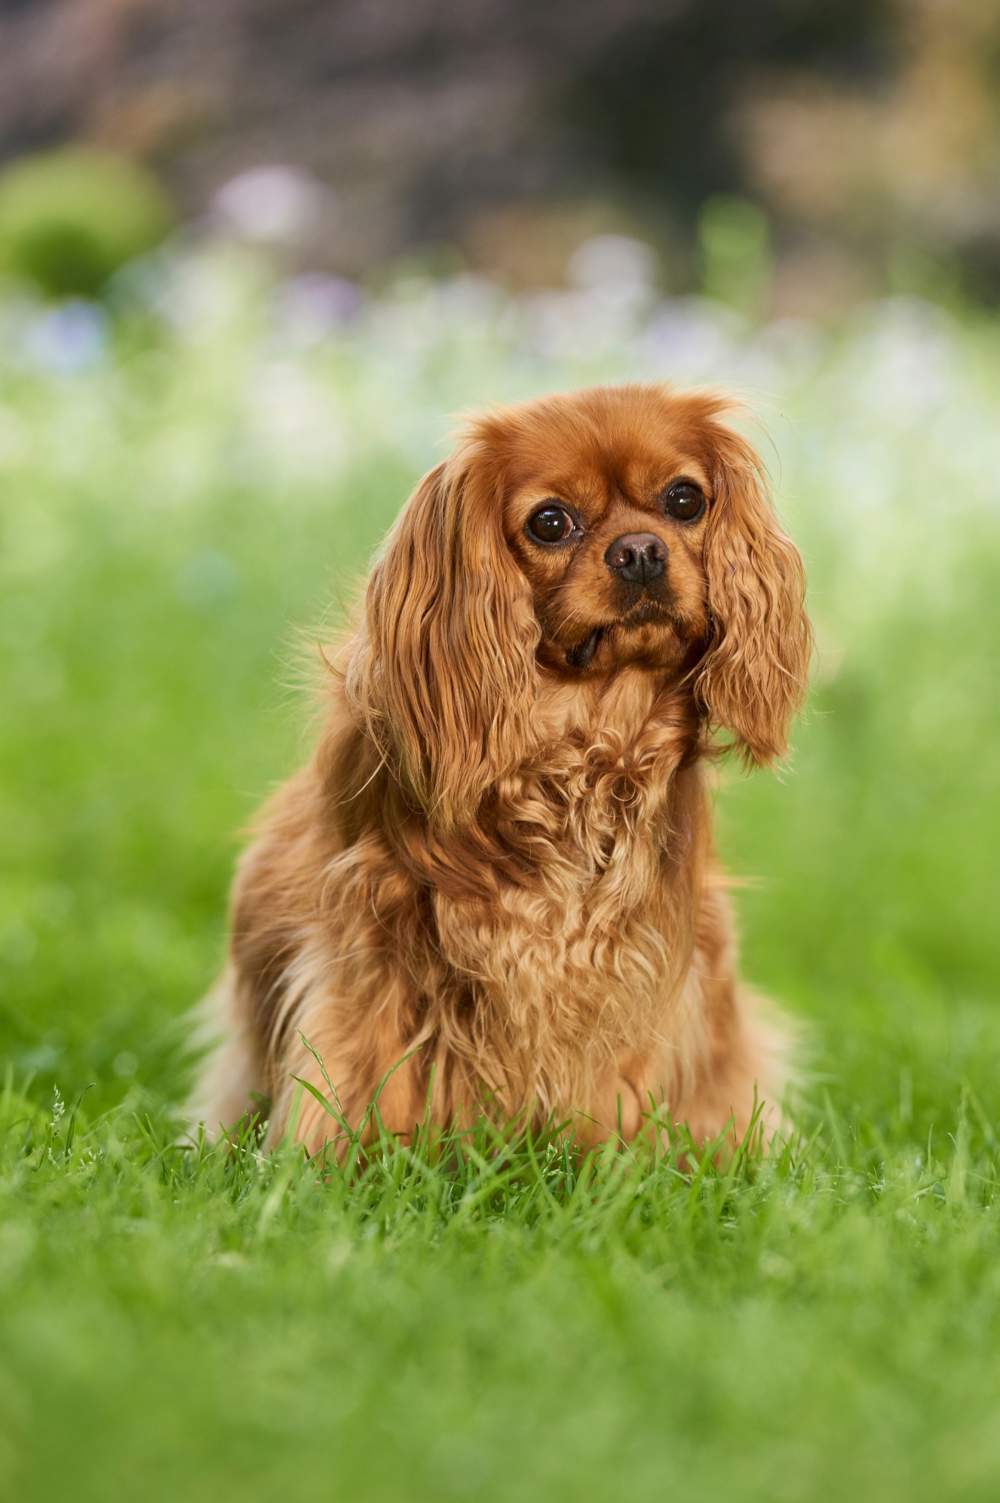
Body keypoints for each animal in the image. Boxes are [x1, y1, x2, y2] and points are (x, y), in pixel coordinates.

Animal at [189, 384, 812, 1148]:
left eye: (685, 499)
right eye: (550, 523)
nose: (639, 550)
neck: (583, 746)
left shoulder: (636, 962)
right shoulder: (371, 945)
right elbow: (365, 1065)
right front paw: (349, 1158)